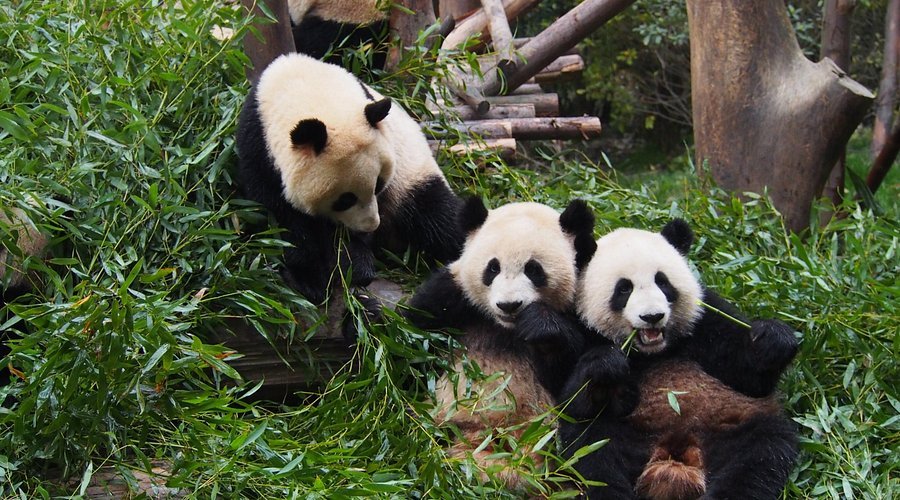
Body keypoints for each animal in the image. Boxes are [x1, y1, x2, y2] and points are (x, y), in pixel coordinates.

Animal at [236, 53, 462, 305]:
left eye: (379, 185)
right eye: (345, 199)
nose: (371, 225)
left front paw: (356, 266)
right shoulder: (258, 150)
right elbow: (285, 220)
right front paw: (310, 279)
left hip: (413, 178)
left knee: (441, 218)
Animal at [406, 197, 597, 488]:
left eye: (534, 269)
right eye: (493, 267)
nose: (509, 305)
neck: (506, 328)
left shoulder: (579, 312)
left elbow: (572, 380)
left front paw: (541, 327)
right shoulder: (451, 296)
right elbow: (411, 338)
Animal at [559, 219, 799, 499]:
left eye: (662, 282)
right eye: (624, 288)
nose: (652, 316)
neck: (654, 351)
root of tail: (678, 450)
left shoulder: (705, 319)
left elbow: (748, 377)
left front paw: (772, 339)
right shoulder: (582, 327)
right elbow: (572, 399)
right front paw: (607, 365)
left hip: (732, 426)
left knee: (759, 456)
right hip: (630, 432)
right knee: (595, 452)